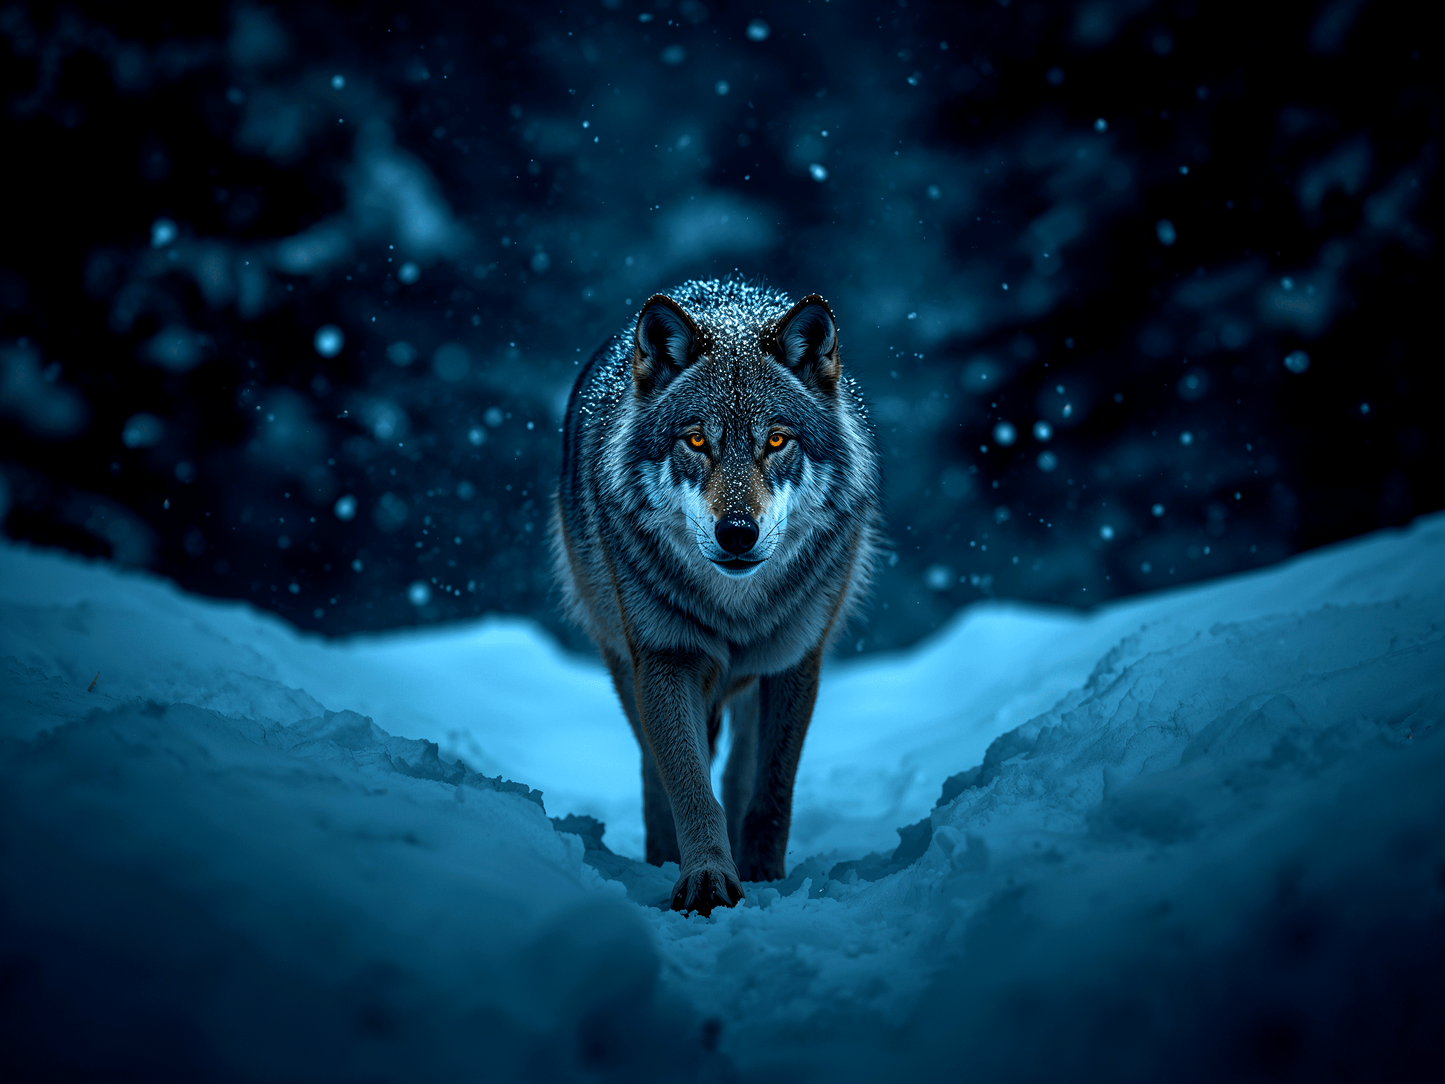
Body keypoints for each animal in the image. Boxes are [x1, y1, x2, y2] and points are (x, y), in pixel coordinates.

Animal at [552, 278, 881, 915]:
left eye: (776, 439)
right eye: (698, 440)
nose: (736, 533)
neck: (736, 607)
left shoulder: (797, 664)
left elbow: (772, 788)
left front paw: (762, 873)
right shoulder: (665, 661)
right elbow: (686, 783)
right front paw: (705, 878)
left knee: (740, 766)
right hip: (623, 659)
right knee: (657, 767)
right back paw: (662, 856)